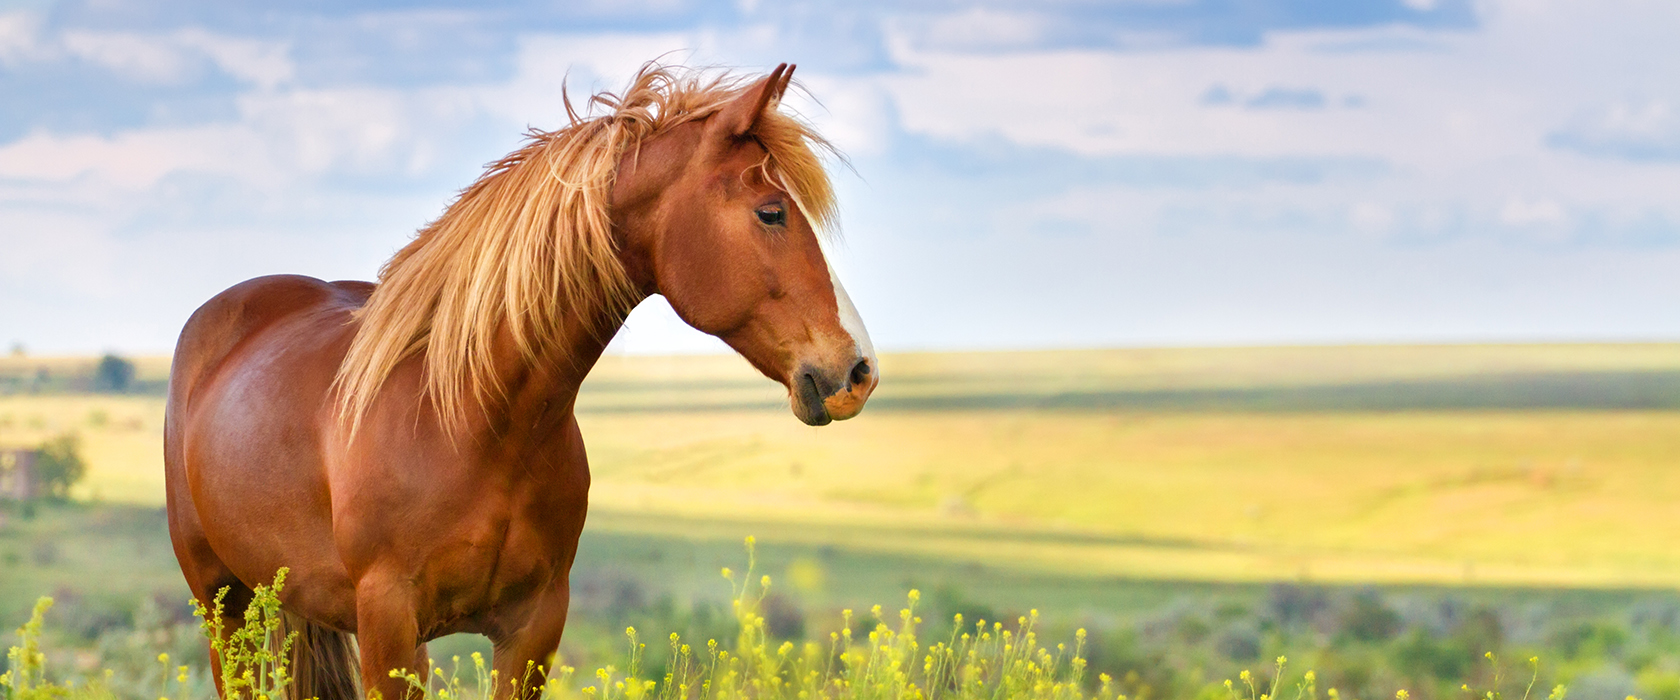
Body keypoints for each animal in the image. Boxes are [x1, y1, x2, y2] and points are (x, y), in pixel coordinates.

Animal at [163, 61, 880, 698]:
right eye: (771, 212)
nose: (858, 371)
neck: (474, 422)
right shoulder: (389, 628)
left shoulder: (533, 629)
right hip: (222, 606)